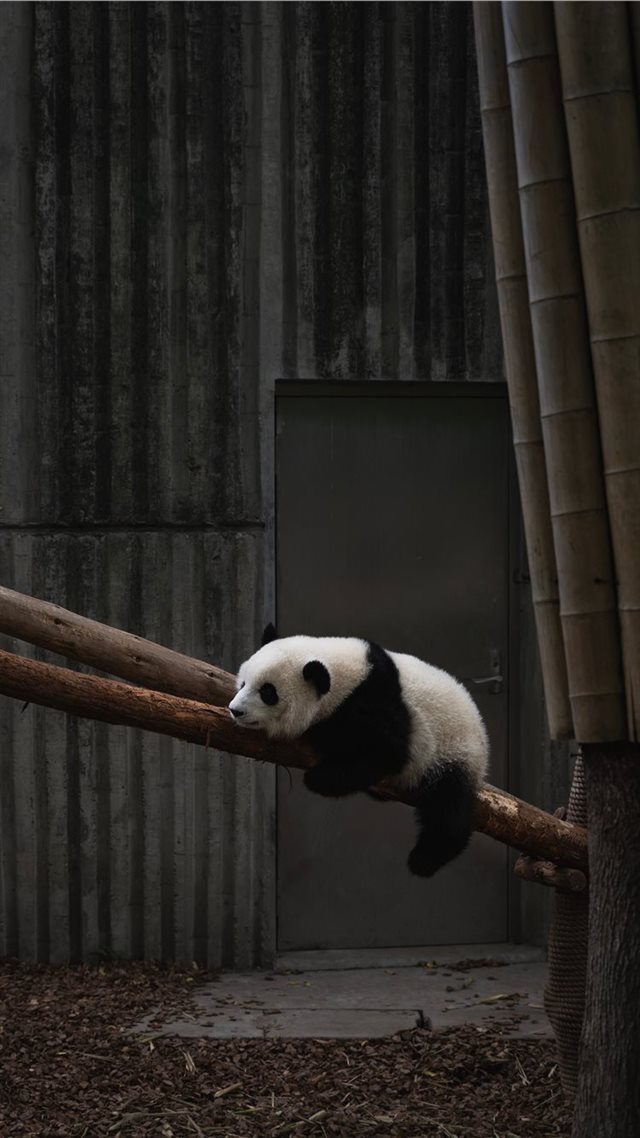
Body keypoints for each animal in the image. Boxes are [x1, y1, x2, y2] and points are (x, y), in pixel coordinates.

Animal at [228, 626, 489, 878]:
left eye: (268, 692)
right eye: (243, 683)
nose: (235, 710)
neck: (348, 677)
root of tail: (482, 736)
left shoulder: (375, 702)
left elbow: (386, 752)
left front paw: (319, 775)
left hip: (452, 751)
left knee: (447, 806)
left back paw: (425, 859)